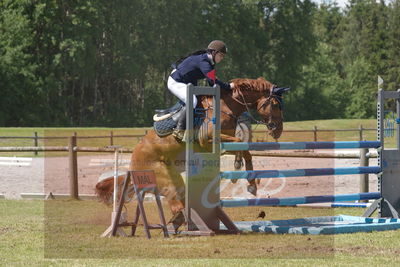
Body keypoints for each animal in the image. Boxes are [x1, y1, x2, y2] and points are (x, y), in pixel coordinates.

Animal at [97, 77, 290, 216]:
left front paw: (250, 183)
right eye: (274, 105)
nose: (278, 130)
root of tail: (132, 166)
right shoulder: (209, 141)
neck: (225, 106)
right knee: (175, 204)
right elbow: (239, 143)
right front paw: (239, 170)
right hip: (163, 177)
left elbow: (244, 149)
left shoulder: (219, 144)